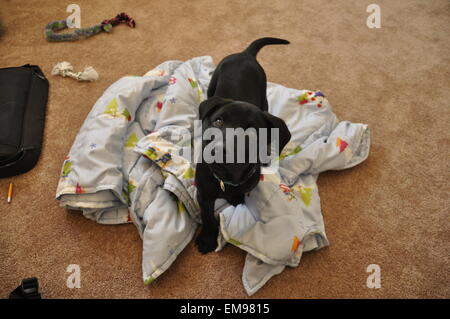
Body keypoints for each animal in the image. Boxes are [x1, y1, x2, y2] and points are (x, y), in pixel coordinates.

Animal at [195, 36, 290, 254]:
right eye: (218, 121)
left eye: (252, 132)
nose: (219, 150)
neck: (226, 178)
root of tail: (245, 53)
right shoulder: (203, 195)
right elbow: (207, 217)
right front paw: (207, 240)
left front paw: (236, 198)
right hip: (212, 85)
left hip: (264, 98)